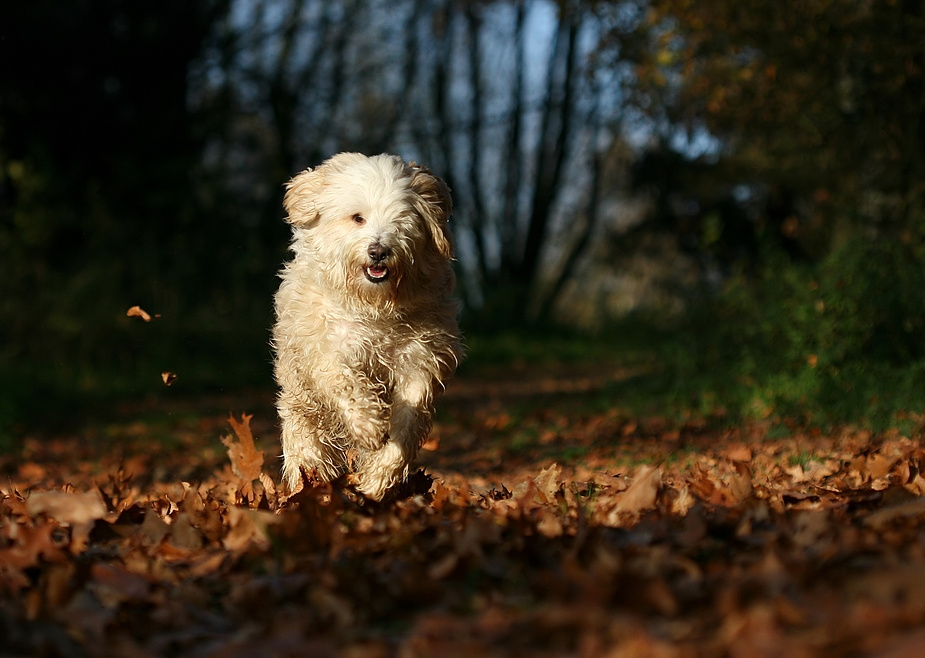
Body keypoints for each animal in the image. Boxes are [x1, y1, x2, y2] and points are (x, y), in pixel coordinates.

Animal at [272, 151, 462, 498]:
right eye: (357, 218)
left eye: (402, 220)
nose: (379, 251)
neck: (375, 309)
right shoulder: (327, 346)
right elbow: (345, 381)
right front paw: (370, 427)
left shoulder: (420, 360)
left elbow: (408, 420)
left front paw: (378, 478)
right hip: (303, 412)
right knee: (311, 453)